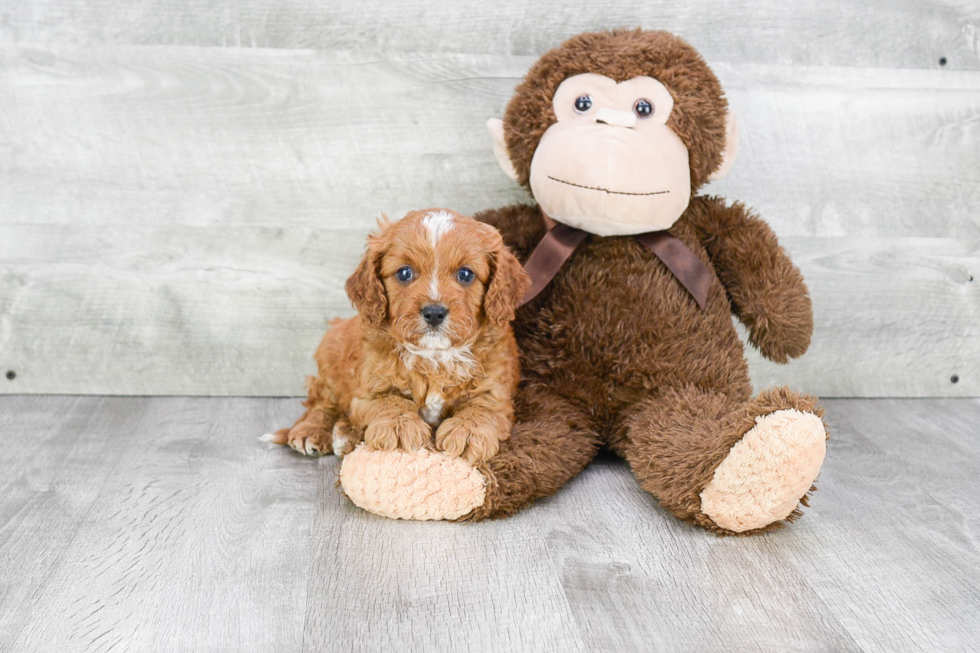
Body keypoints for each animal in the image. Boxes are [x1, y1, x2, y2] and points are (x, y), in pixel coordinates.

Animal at [262, 209, 528, 464]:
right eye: (404, 273)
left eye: (465, 274)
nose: (434, 312)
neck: (435, 356)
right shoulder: (369, 388)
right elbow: (390, 401)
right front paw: (399, 426)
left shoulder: (496, 391)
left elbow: (482, 408)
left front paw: (468, 431)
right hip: (331, 354)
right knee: (321, 403)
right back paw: (313, 430)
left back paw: (345, 435)